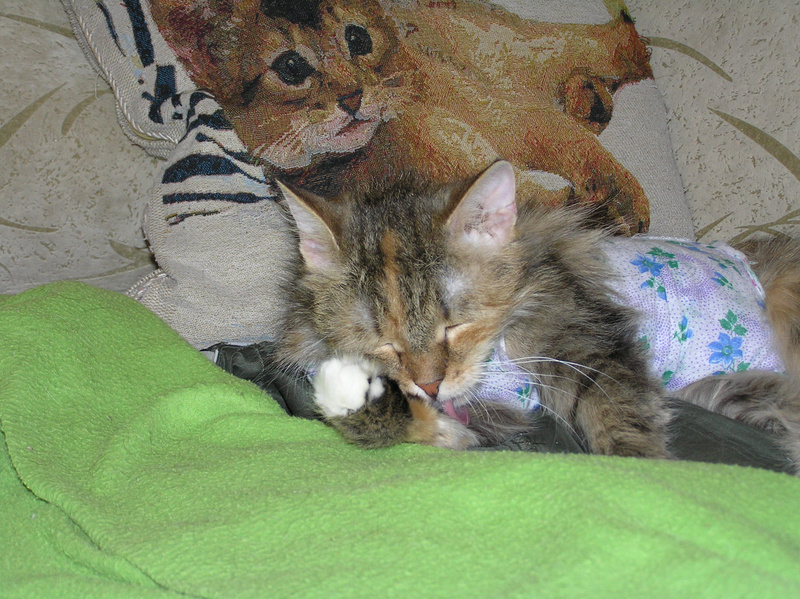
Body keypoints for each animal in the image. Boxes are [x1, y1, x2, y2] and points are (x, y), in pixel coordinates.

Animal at [149, 0, 653, 233]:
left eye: (357, 38)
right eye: (291, 67)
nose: (352, 97)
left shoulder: (506, 118)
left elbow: (571, 146)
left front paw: (625, 194)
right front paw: (603, 210)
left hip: (494, 47)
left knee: (612, 43)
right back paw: (589, 98)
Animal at [273, 160, 800, 471]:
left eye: (455, 325)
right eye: (384, 343)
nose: (430, 385)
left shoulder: (589, 343)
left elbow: (621, 419)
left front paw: (640, 471)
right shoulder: (495, 418)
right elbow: (412, 425)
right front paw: (353, 394)